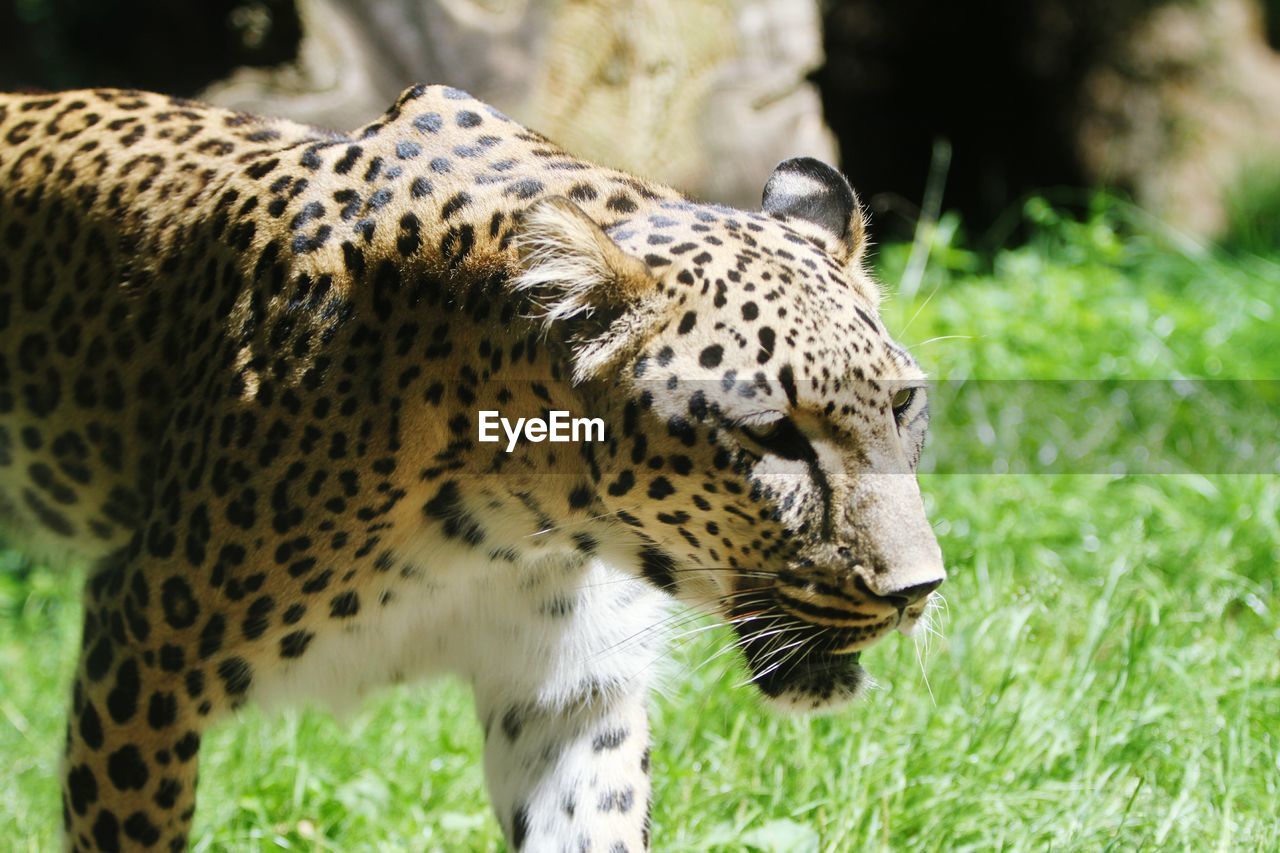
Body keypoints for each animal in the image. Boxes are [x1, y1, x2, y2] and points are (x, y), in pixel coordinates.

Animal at [0, 83, 945, 851]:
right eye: (774, 436)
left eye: (903, 406)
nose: (919, 590)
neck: (518, 519)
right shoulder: (141, 654)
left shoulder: (570, 694)